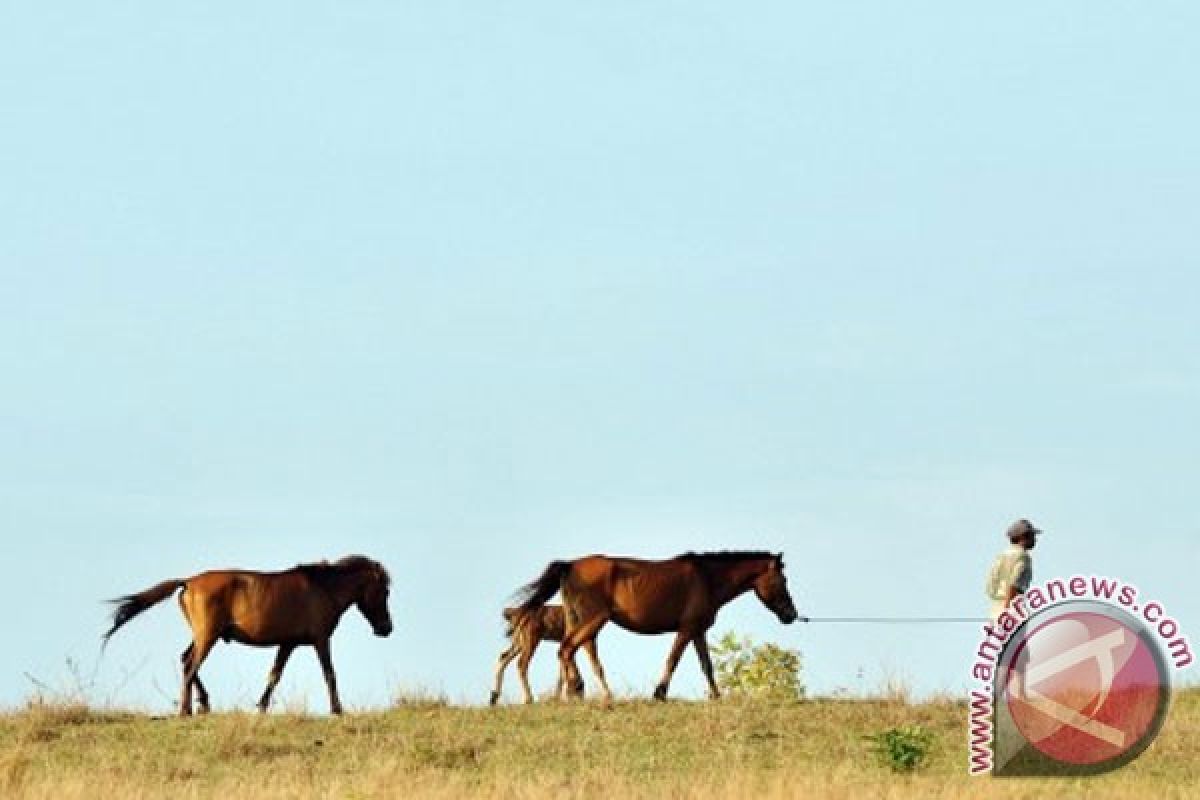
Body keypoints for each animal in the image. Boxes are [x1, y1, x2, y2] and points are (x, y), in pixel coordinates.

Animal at [105, 554, 391, 714]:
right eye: (385, 591)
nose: (386, 628)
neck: (324, 587)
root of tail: (188, 581)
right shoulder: (321, 641)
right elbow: (329, 674)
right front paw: (337, 709)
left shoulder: (287, 644)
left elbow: (275, 675)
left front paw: (261, 707)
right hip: (207, 637)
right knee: (190, 665)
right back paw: (188, 709)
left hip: (202, 636)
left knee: (186, 660)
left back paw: (203, 704)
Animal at [513, 554, 801, 705]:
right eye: (783, 580)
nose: (791, 615)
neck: (706, 578)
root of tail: (570, 564)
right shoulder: (686, 630)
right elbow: (673, 660)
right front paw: (659, 693)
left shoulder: (698, 632)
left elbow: (706, 665)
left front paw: (716, 696)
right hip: (592, 620)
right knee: (567, 649)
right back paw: (575, 691)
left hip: (578, 620)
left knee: (573, 651)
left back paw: (574, 691)